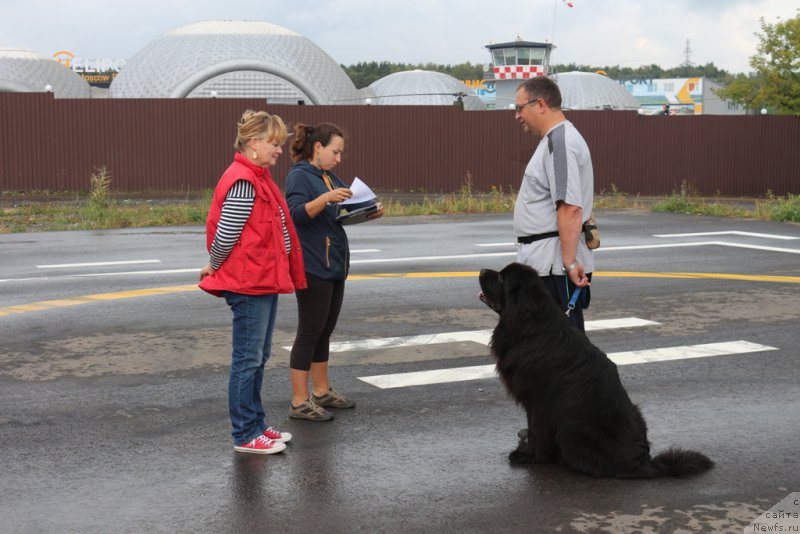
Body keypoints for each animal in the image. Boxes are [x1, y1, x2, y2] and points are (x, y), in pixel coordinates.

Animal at [478, 266, 716, 480]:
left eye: (502, 277)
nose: (481, 271)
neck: (529, 326)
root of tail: (642, 462)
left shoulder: (537, 403)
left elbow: (537, 432)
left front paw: (530, 455)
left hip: (571, 428)